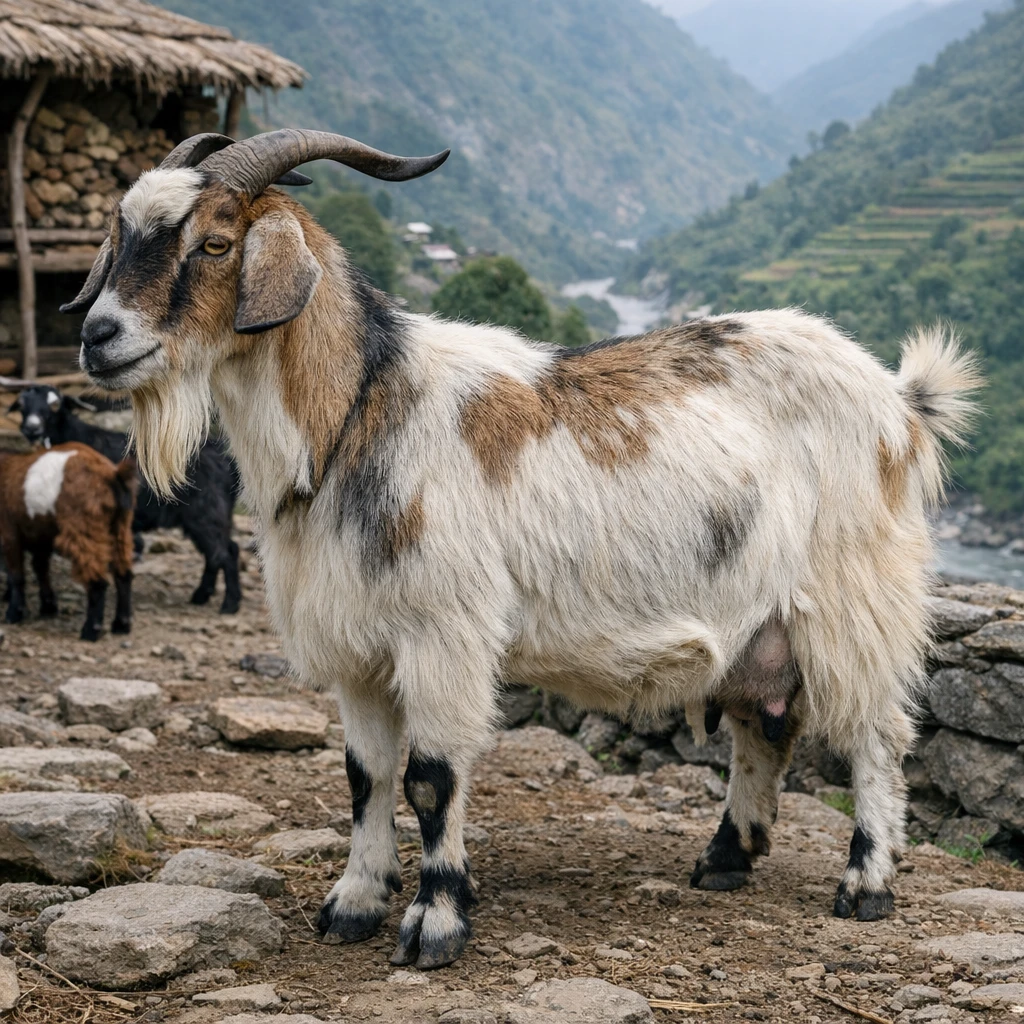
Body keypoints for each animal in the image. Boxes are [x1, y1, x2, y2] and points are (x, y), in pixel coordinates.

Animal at [0, 442, 135, 641]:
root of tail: (113, 475)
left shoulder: (9, 531)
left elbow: (16, 575)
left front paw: (14, 613)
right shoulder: (41, 537)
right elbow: (41, 568)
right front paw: (48, 606)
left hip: (83, 526)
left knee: (98, 581)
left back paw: (91, 630)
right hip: (120, 527)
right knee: (123, 575)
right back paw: (121, 624)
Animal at [8, 386, 242, 613]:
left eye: (55, 405)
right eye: (22, 405)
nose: (31, 429)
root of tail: (227, 460)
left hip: (208, 513)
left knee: (225, 553)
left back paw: (229, 605)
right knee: (219, 553)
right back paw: (201, 596)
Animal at [64, 129, 981, 969]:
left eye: (215, 242)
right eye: (123, 233)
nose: (99, 337)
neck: (358, 409)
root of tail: (903, 402)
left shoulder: (444, 632)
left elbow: (430, 776)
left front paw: (435, 922)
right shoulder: (358, 645)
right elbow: (365, 775)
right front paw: (354, 903)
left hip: (856, 597)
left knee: (878, 733)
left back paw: (866, 884)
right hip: (763, 621)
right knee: (765, 724)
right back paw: (725, 858)